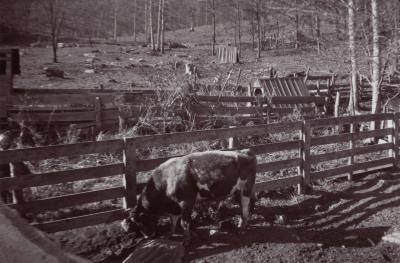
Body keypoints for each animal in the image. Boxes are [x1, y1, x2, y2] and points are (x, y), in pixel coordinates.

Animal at [120, 148, 256, 245]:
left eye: (141, 223)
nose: (149, 236)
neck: (166, 179)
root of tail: (246, 152)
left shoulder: (186, 201)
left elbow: (184, 222)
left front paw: (186, 240)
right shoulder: (175, 206)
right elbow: (173, 219)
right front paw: (170, 233)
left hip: (245, 189)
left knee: (245, 208)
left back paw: (241, 229)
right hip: (238, 191)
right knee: (247, 206)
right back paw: (243, 224)